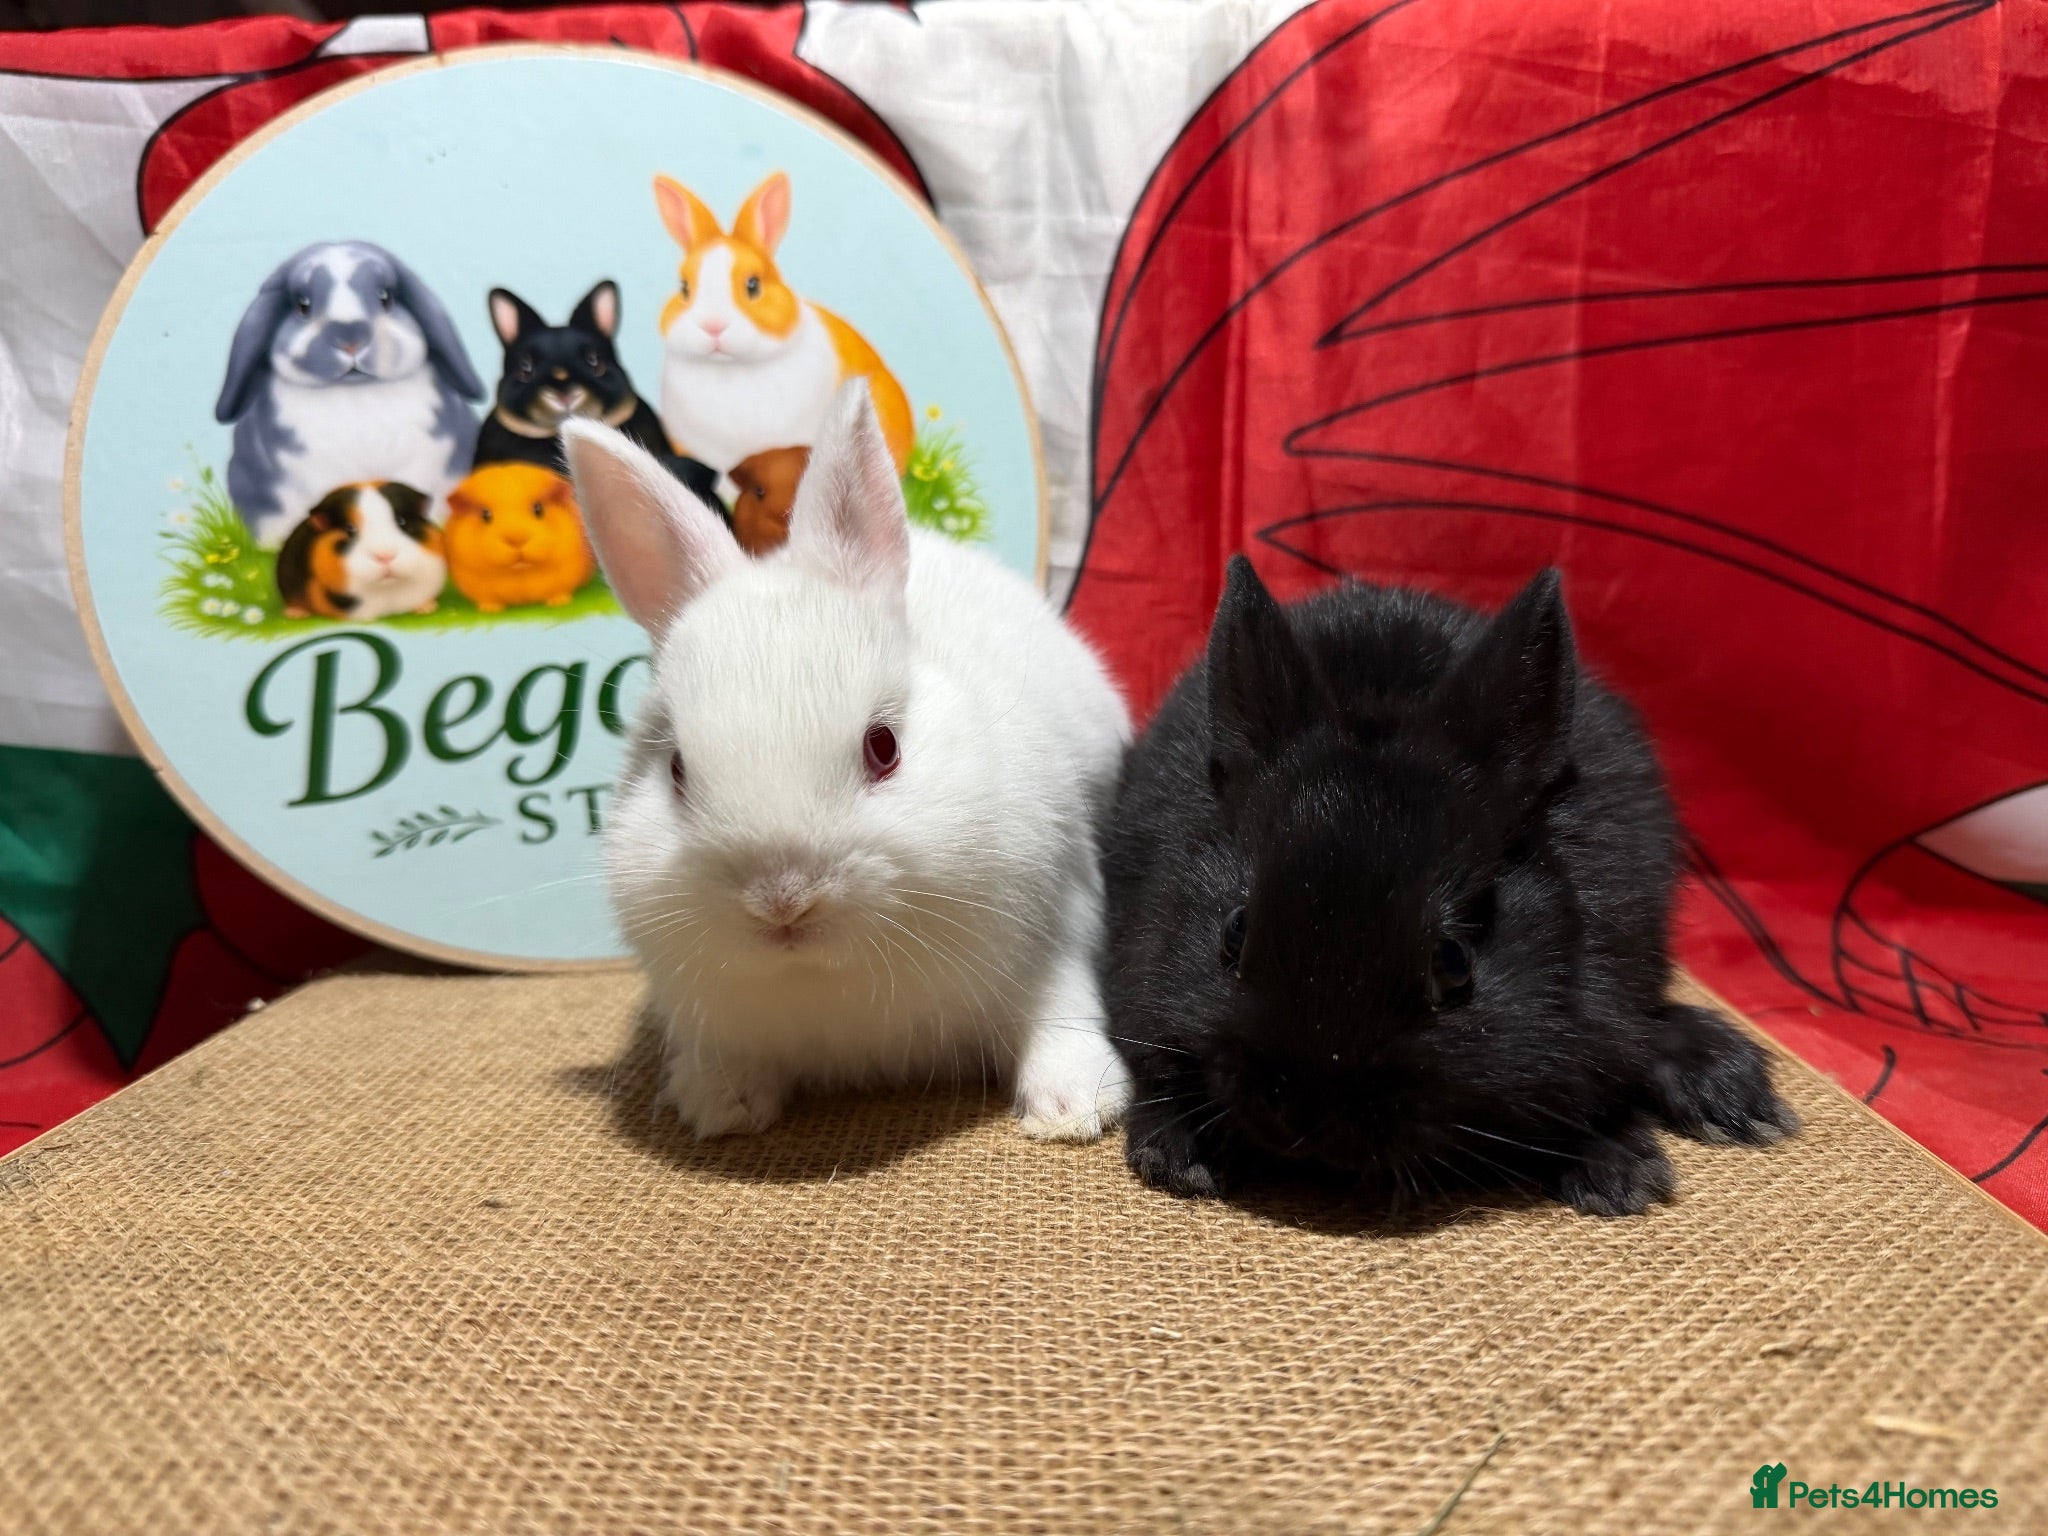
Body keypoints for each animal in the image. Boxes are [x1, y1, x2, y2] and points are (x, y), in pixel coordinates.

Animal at [274, 481, 446, 622]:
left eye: (401, 521)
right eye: (349, 528)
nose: (385, 556)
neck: (388, 590)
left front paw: (428, 609)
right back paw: (295, 614)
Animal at [443, 463, 595, 612]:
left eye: (538, 509)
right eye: (485, 515)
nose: (516, 540)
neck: (520, 573)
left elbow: (559, 591)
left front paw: (558, 603)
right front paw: (490, 610)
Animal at [562, 379, 1132, 1142]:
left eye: (883, 747)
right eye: (677, 769)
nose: (782, 899)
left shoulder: (1057, 934)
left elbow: (1060, 1015)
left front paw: (1072, 1111)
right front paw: (721, 1105)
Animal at [1103, 557, 1799, 1214]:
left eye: (1454, 963)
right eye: (1233, 933)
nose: (1304, 1119)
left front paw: (1623, 1175)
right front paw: (1178, 1154)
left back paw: (1727, 1090)